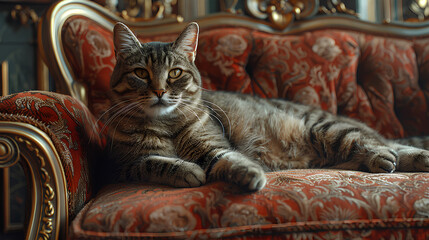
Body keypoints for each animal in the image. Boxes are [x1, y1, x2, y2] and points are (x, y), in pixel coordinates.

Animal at [105, 22, 428, 191]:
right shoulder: (124, 165)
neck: (166, 124)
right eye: (141, 73)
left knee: (373, 142)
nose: (159, 91)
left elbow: (231, 159)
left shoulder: (214, 145)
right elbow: (155, 161)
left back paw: (389, 157)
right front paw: (188, 170)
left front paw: (252, 175)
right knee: (385, 147)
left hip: (323, 129)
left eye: (174, 73)